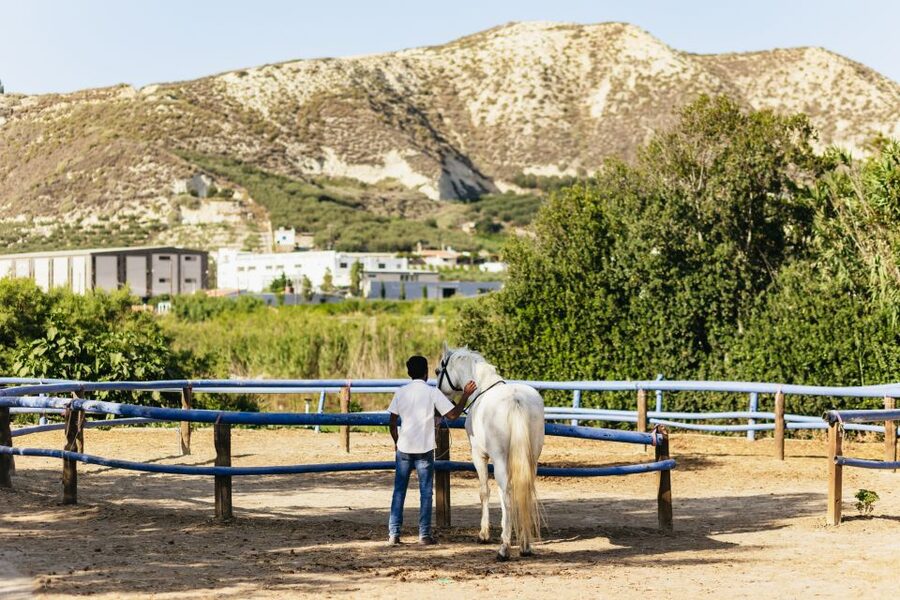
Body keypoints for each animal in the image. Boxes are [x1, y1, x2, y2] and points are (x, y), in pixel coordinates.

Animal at [435, 343, 545, 560]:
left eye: (438, 371)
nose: (439, 393)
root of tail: (515, 399)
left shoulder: (479, 456)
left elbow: (484, 491)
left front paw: (483, 534)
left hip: (500, 460)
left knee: (506, 493)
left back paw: (504, 548)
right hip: (532, 460)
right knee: (524, 492)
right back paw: (525, 545)